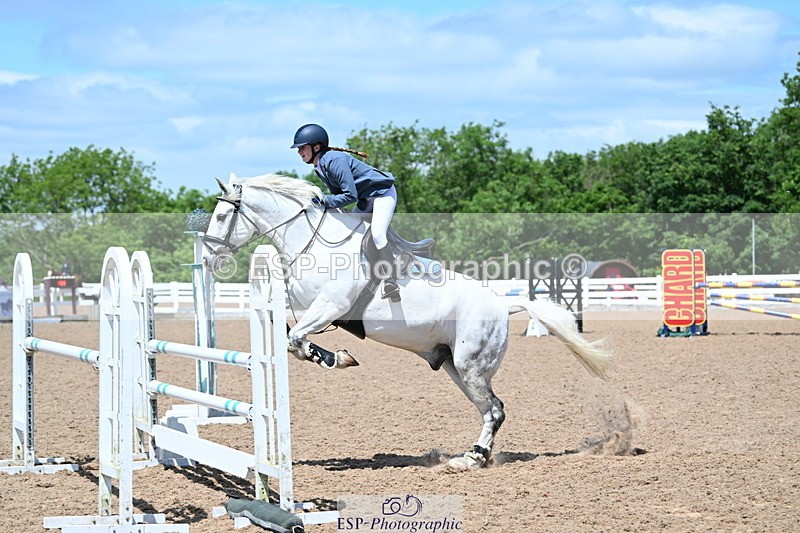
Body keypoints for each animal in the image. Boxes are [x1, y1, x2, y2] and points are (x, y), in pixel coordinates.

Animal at [201, 173, 614, 470]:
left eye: (221, 216)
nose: (207, 259)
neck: (313, 242)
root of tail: (503, 306)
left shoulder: (331, 305)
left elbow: (297, 341)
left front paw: (336, 358)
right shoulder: (304, 303)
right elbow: (290, 333)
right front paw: (336, 355)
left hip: (472, 366)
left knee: (496, 410)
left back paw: (472, 459)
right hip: (455, 367)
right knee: (488, 409)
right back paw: (471, 455)